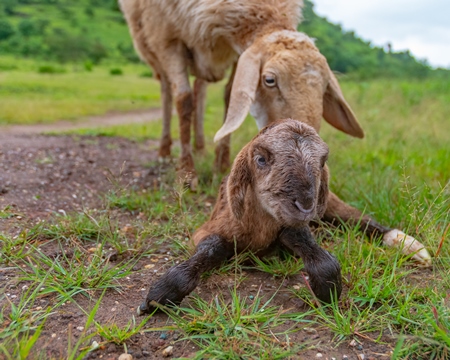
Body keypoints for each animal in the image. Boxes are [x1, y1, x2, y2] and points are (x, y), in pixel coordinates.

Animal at [119, 0, 432, 264]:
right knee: (169, 92)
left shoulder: (237, 53)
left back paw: (201, 148)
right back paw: (167, 151)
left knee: (201, 88)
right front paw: (186, 174)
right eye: (269, 80)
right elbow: (183, 100)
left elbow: (230, 98)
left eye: (325, 87)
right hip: (152, 48)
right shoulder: (167, 36)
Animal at [137, 119, 342, 316]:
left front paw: (327, 289)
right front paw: (160, 296)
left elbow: (304, 242)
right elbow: (214, 246)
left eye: (322, 163)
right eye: (260, 159)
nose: (305, 206)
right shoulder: (207, 229)